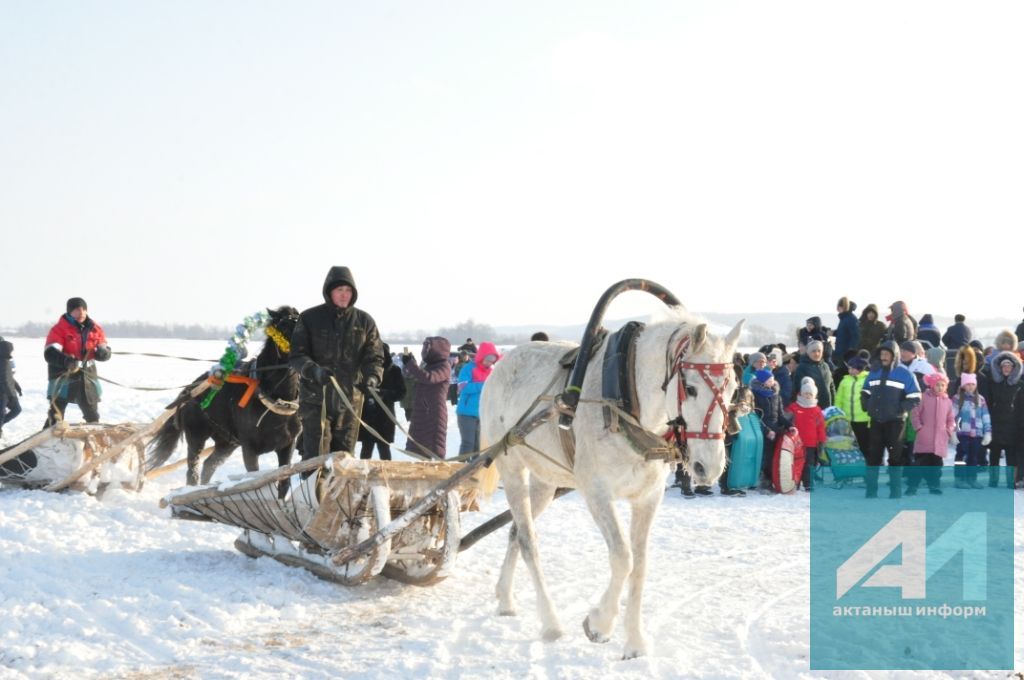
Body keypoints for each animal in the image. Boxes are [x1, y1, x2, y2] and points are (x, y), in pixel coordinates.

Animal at [475, 309, 741, 659]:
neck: (629, 402)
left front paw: (635, 641)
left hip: (545, 480)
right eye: (692, 388)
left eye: (733, 388)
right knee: (529, 540)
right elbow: (623, 557)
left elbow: (640, 565)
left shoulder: (648, 496)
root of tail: (502, 364)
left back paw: (505, 597)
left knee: (516, 532)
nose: (708, 467)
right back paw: (550, 622)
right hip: (512, 466)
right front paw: (599, 623)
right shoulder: (597, 491)